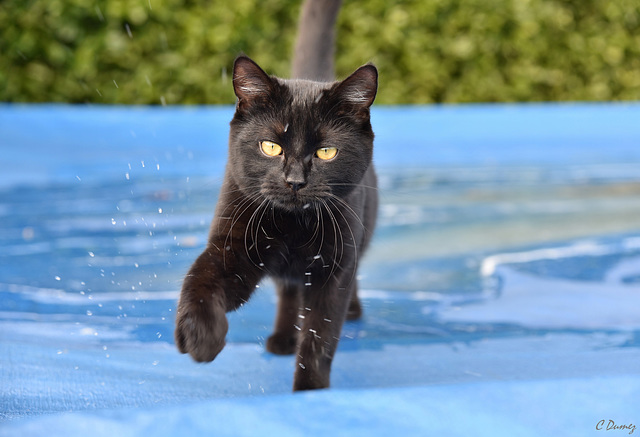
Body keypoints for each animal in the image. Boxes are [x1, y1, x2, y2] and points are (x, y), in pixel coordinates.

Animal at [172, 1, 378, 390]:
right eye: (270, 146)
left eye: (326, 152)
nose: (295, 181)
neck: (294, 224)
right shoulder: (233, 244)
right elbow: (201, 277)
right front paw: (200, 336)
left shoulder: (334, 267)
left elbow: (320, 336)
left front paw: (310, 391)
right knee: (288, 292)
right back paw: (282, 338)